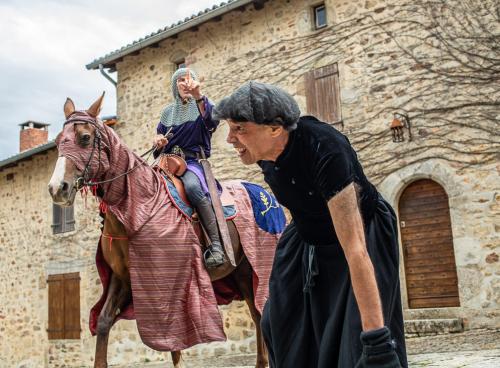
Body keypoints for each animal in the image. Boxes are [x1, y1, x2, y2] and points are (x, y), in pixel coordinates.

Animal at [47, 95, 274, 368]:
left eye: (84, 137)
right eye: (59, 141)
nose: (57, 188)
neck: (139, 208)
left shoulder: (171, 281)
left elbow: (173, 338)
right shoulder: (122, 278)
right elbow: (103, 321)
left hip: (257, 267)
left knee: (262, 311)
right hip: (240, 273)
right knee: (257, 314)